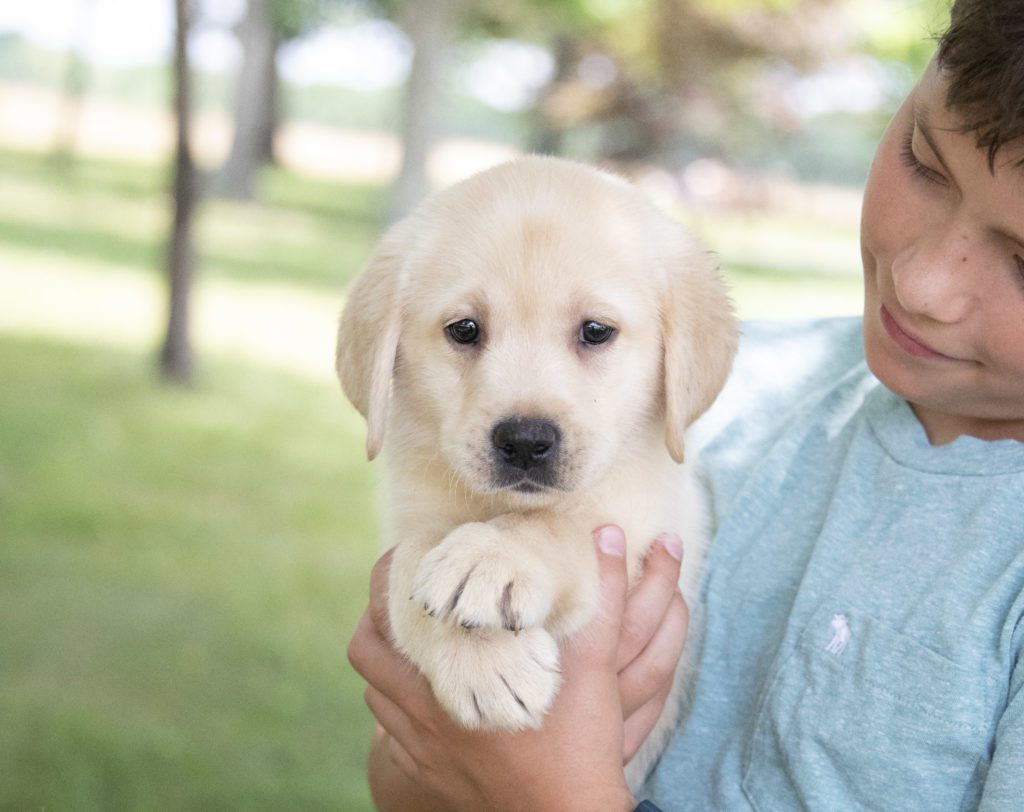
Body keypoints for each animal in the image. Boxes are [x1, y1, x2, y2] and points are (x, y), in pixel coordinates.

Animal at [337, 153, 737, 786]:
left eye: (596, 331)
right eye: (464, 329)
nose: (525, 442)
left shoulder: (646, 520)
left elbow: (557, 524)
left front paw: (494, 556)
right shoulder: (409, 519)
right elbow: (414, 561)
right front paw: (482, 664)